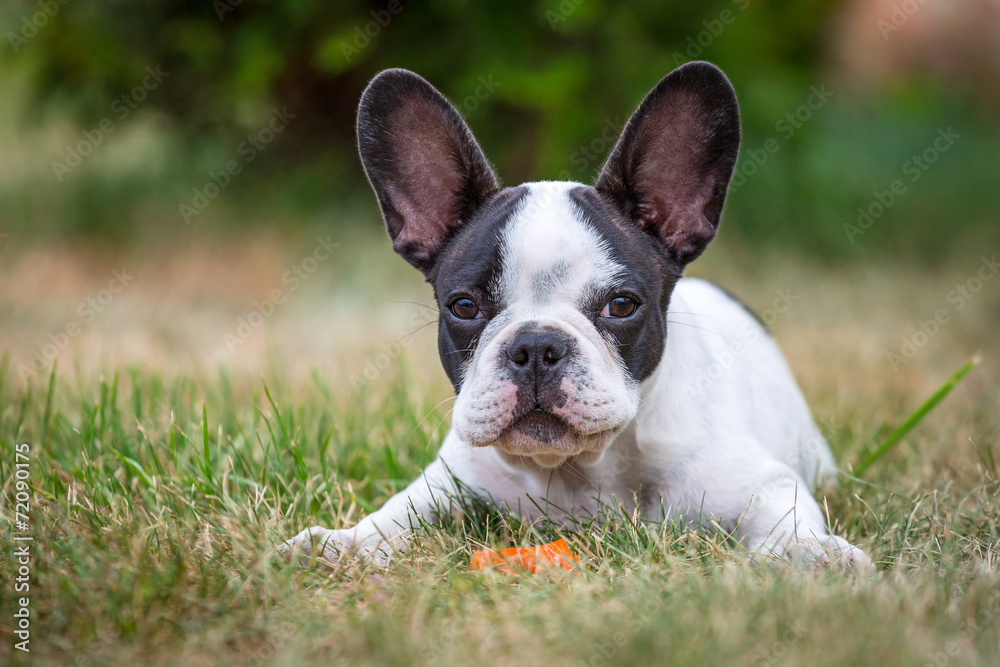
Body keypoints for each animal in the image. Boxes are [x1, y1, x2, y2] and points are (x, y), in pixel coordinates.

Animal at [282, 61, 868, 568]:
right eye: (465, 307)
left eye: (621, 305)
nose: (536, 347)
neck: (576, 471)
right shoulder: (451, 480)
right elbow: (399, 512)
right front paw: (345, 542)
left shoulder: (761, 482)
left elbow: (786, 519)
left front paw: (812, 554)